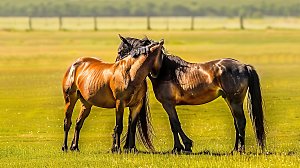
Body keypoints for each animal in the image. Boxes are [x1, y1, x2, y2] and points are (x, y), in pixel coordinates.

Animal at [116, 35, 266, 154]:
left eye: (121, 50)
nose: (118, 65)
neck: (164, 70)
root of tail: (244, 66)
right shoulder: (169, 105)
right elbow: (173, 125)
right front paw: (177, 148)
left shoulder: (168, 104)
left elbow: (176, 124)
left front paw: (185, 146)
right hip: (230, 100)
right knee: (237, 123)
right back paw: (234, 149)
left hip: (235, 101)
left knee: (240, 122)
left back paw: (240, 150)